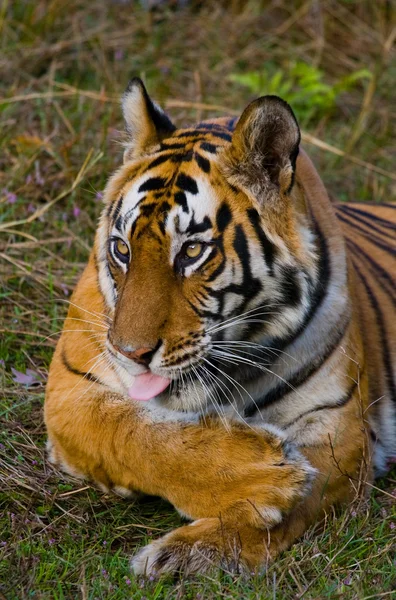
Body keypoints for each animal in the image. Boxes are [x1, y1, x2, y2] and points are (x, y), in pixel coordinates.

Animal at [44, 77, 396, 576]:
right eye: (121, 249)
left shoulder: (339, 428)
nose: (132, 353)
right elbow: (135, 434)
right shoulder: (69, 390)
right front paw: (266, 474)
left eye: (192, 251)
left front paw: (186, 552)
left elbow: (295, 505)